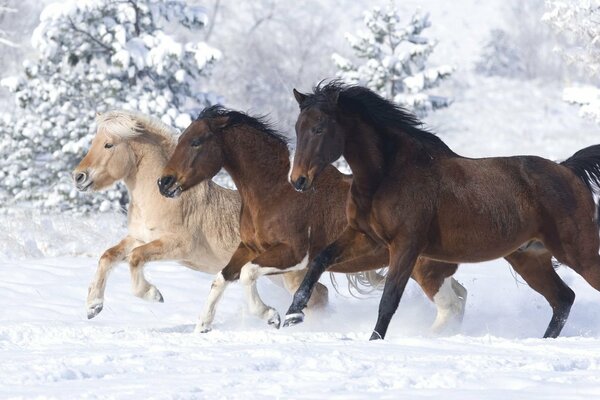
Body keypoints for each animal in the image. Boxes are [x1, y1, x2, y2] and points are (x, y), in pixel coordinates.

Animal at [75, 110, 330, 328]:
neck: (161, 199)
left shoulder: (177, 246)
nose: (78, 176)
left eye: (109, 144)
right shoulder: (138, 238)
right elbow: (108, 256)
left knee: (318, 296)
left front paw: (154, 295)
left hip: (290, 274)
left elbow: (135, 258)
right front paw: (93, 307)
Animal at [157, 106, 466, 334]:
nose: (164, 182)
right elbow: (221, 278)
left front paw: (272, 316)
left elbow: (246, 274)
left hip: (425, 270)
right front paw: (203, 325)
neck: (275, 191)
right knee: (459, 298)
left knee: (450, 307)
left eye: (196, 142)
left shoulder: (294, 255)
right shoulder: (249, 247)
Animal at [284, 81, 600, 340]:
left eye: (319, 128)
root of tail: (568, 169)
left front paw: (374, 342)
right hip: (529, 258)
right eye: (298, 127)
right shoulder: (365, 237)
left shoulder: (406, 245)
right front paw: (292, 315)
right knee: (563, 299)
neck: (388, 174)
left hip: (577, 252)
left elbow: (389, 299)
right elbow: (319, 260)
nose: (298, 180)